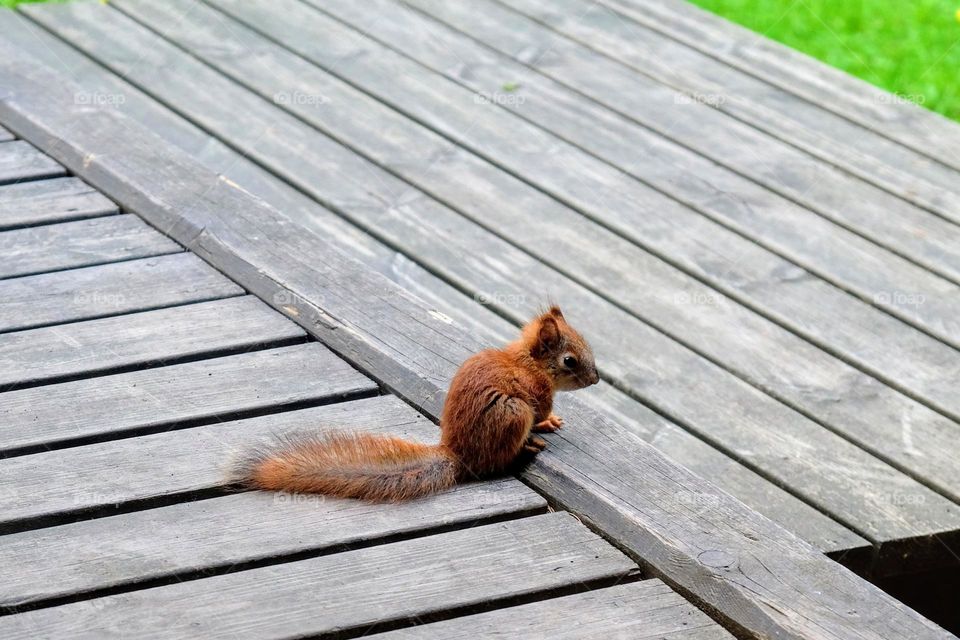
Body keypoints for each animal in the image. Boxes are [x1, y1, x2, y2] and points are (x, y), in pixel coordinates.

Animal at [230, 308, 596, 502]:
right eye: (569, 360)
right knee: (498, 461)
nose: (595, 379)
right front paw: (547, 422)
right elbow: (541, 410)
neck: (529, 363)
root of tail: (459, 455)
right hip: (514, 413)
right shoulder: (537, 393)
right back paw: (526, 448)